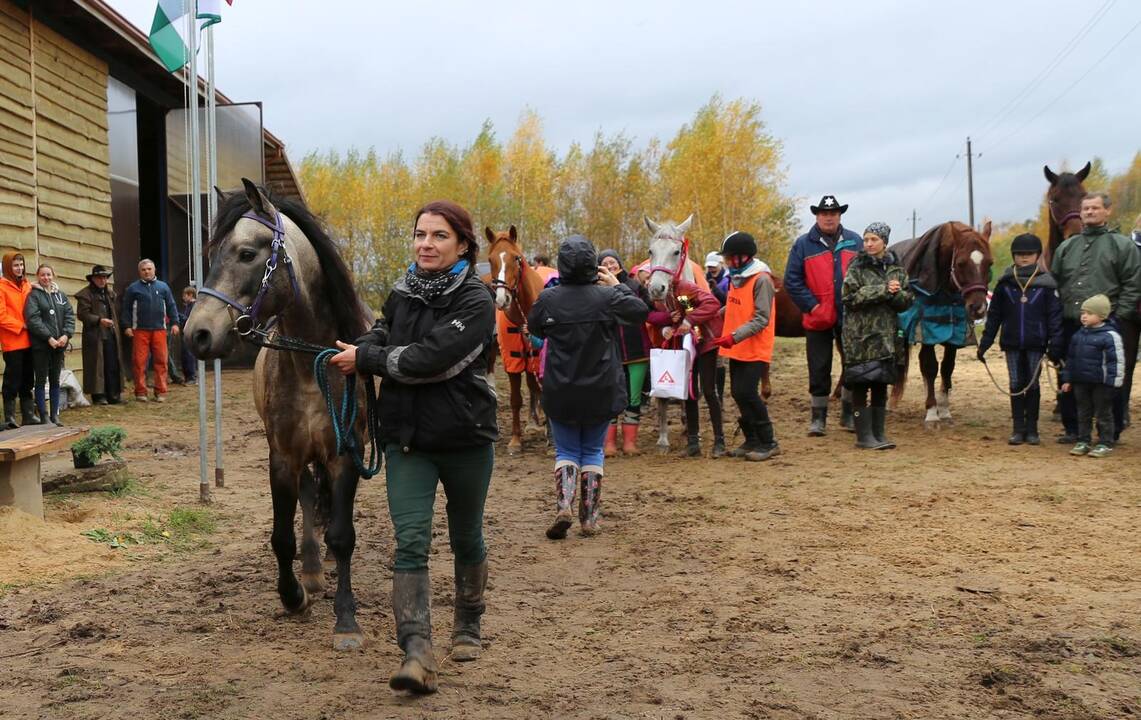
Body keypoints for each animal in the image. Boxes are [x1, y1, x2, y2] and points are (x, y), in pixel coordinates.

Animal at [182, 180, 369, 652]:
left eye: (247, 253)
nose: (196, 334)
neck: (312, 363)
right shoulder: (282, 457)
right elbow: (282, 536)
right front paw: (293, 595)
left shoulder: (345, 456)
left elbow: (343, 535)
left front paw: (347, 621)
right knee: (308, 499)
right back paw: (313, 572)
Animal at [481, 223, 543, 456]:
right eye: (491, 259)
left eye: (516, 258)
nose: (502, 299)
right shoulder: (511, 355)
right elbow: (516, 399)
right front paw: (516, 440)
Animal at [889, 220, 990, 429]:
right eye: (960, 263)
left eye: (990, 263)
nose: (978, 308)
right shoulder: (925, 330)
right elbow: (930, 367)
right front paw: (931, 414)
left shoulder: (953, 333)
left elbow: (946, 368)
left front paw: (943, 410)